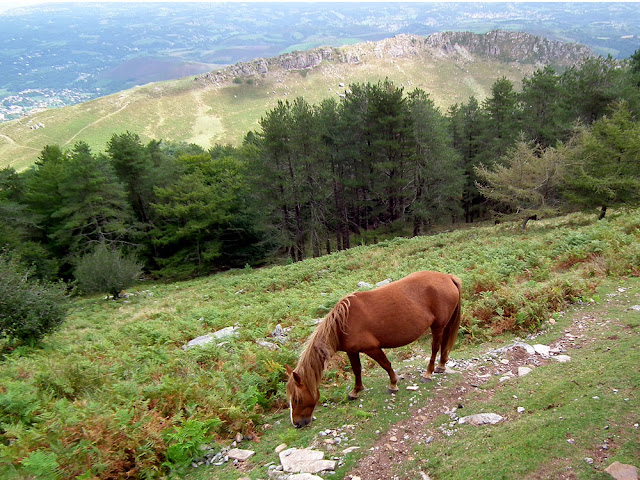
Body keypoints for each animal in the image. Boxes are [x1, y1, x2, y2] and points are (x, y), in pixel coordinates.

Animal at [285, 270, 462, 428]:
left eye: (297, 399)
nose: (297, 424)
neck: (343, 324)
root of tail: (448, 277)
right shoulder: (352, 351)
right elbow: (357, 370)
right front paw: (356, 391)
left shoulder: (372, 348)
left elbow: (386, 365)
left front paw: (393, 384)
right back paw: (441, 366)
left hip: (437, 326)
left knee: (435, 348)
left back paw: (428, 373)